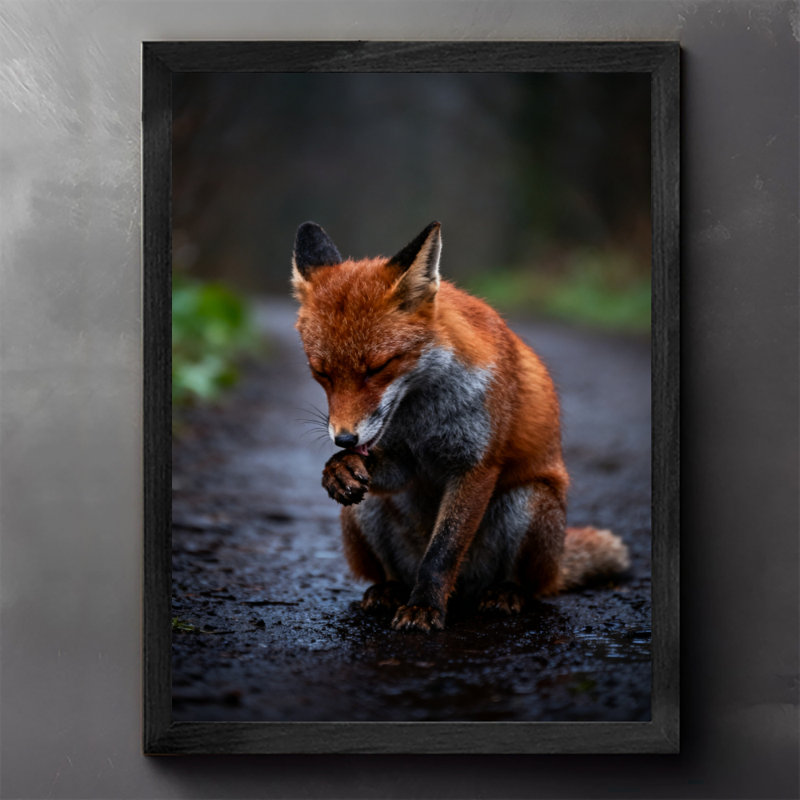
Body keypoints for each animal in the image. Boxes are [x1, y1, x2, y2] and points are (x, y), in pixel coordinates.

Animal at [292, 220, 630, 633]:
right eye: (320, 373)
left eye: (378, 367)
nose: (344, 438)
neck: (421, 414)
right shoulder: (403, 461)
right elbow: (383, 473)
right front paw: (338, 468)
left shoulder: (475, 464)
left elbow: (441, 553)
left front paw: (425, 607)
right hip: (363, 510)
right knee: (391, 570)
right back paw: (389, 590)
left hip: (531, 500)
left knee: (526, 584)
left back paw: (506, 593)